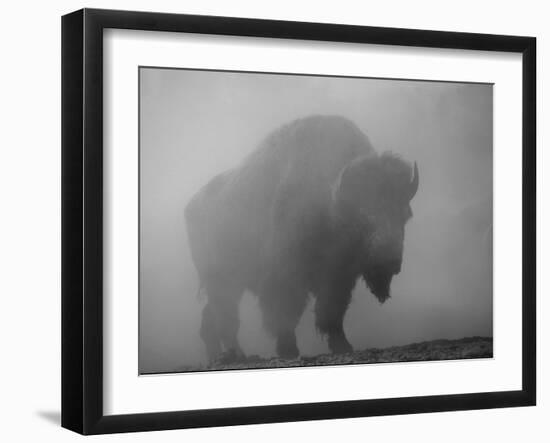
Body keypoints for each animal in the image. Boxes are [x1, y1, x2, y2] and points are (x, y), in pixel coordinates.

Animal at [183, 116, 420, 362]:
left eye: (405, 215)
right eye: (362, 217)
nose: (390, 262)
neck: (332, 202)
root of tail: (190, 207)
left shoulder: (339, 278)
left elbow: (331, 312)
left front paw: (343, 345)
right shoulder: (285, 277)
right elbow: (285, 314)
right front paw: (288, 350)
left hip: (230, 283)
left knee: (211, 319)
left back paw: (220, 356)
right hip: (221, 281)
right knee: (225, 318)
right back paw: (237, 355)